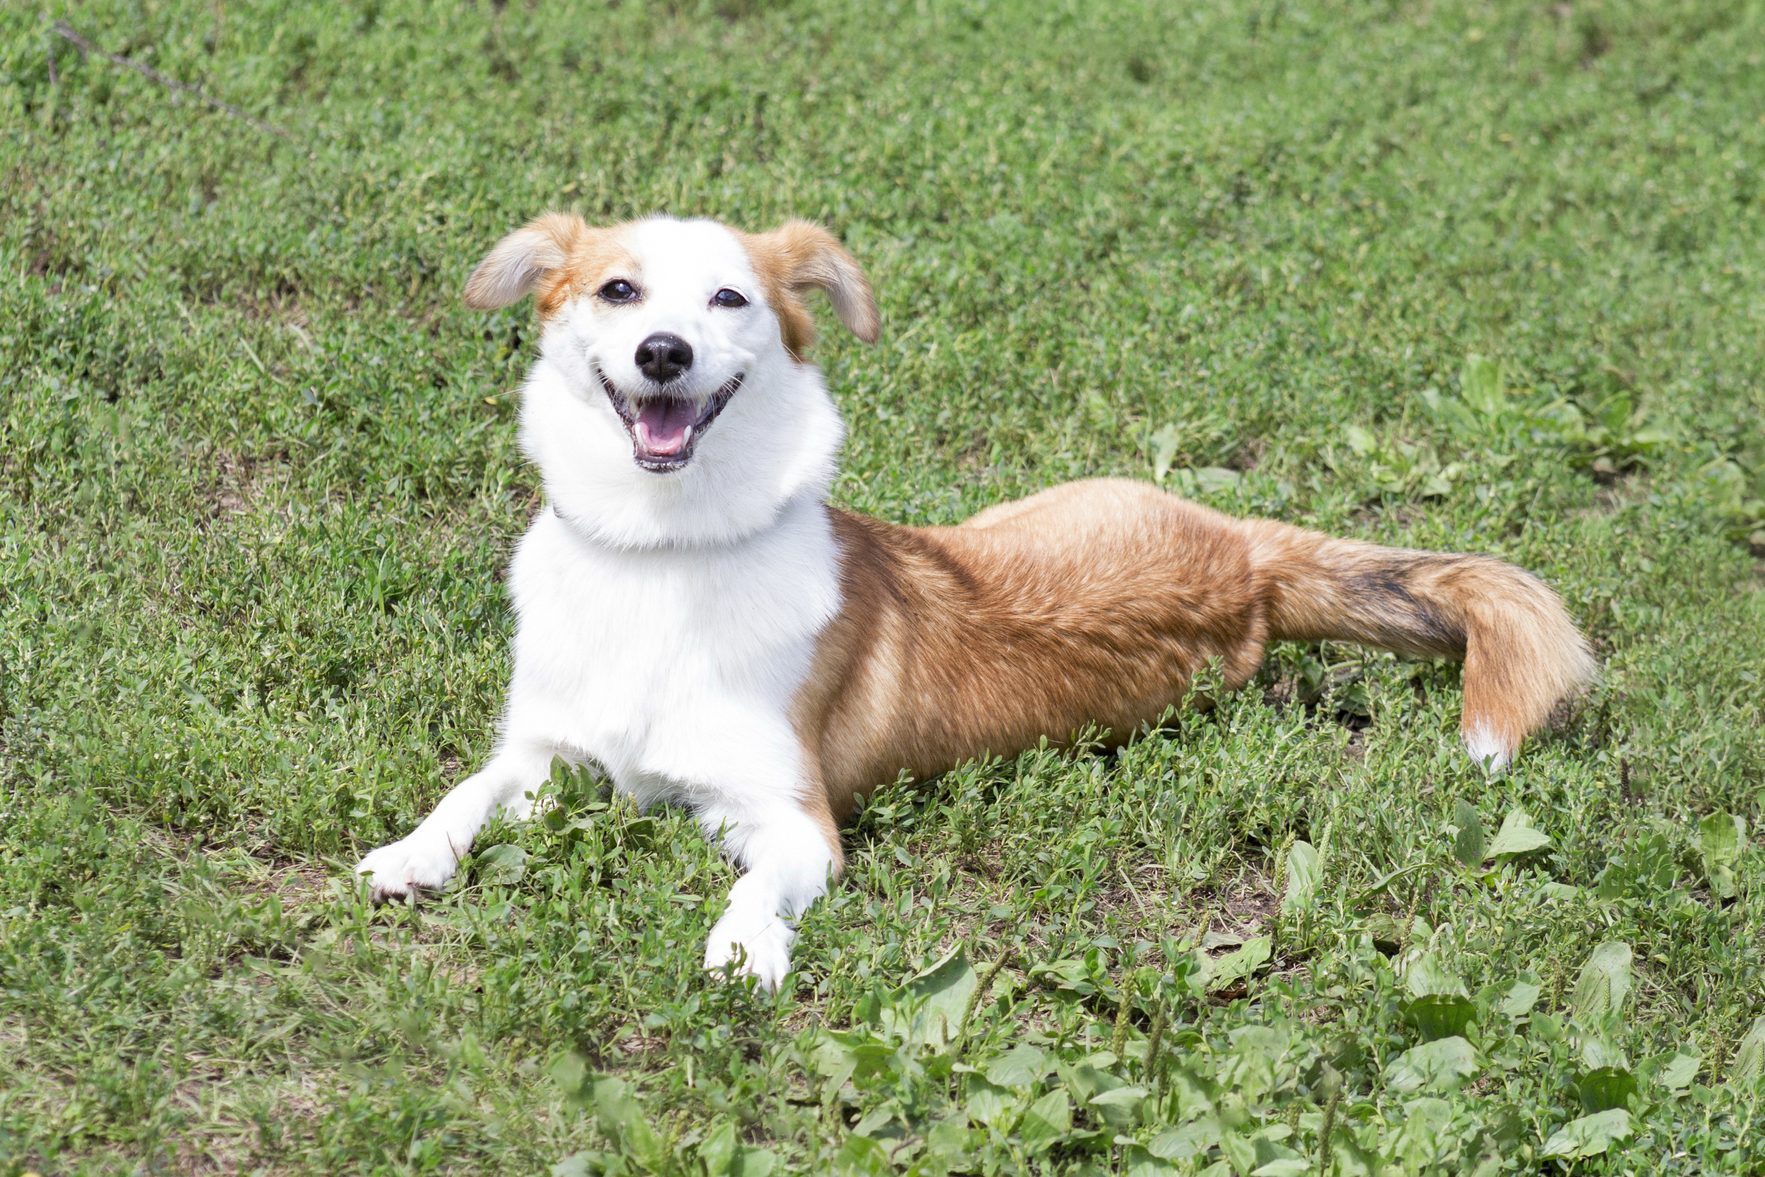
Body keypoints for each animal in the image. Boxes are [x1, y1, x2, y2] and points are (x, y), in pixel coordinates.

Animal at [351, 211, 1595, 988]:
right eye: (618, 289)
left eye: (728, 298)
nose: (663, 352)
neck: (665, 551)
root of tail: (1243, 558)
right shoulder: (546, 751)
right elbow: (468, 789)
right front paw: (411, 851)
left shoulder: (789, 819)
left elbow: (760, 888)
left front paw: (746, 949)